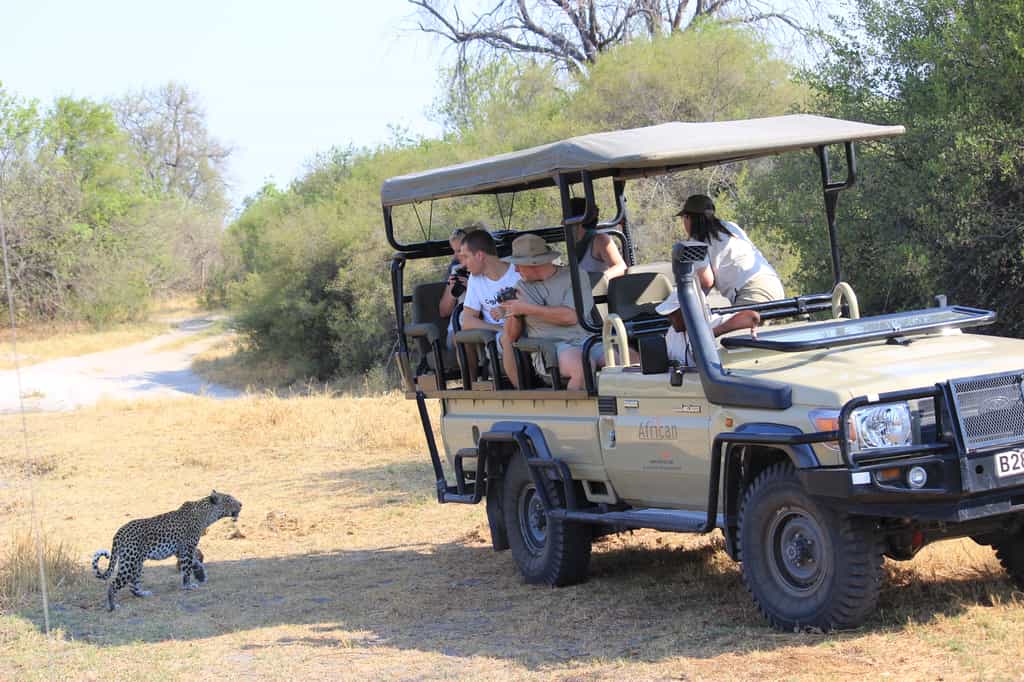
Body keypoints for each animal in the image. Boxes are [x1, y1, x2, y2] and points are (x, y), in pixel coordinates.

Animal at [92, 490, 241, 611]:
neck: (207, 514)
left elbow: (195, 563)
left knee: (133, 585)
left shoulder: (181, 551)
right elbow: (187, 569)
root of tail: (119, 532)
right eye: (230, 500)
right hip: (130, 562)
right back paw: (112, 606)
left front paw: (200, 575)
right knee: (113, 584)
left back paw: (142, 593)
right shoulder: (187, 548)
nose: (241, 504)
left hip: (136, 563)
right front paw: (188, 586)